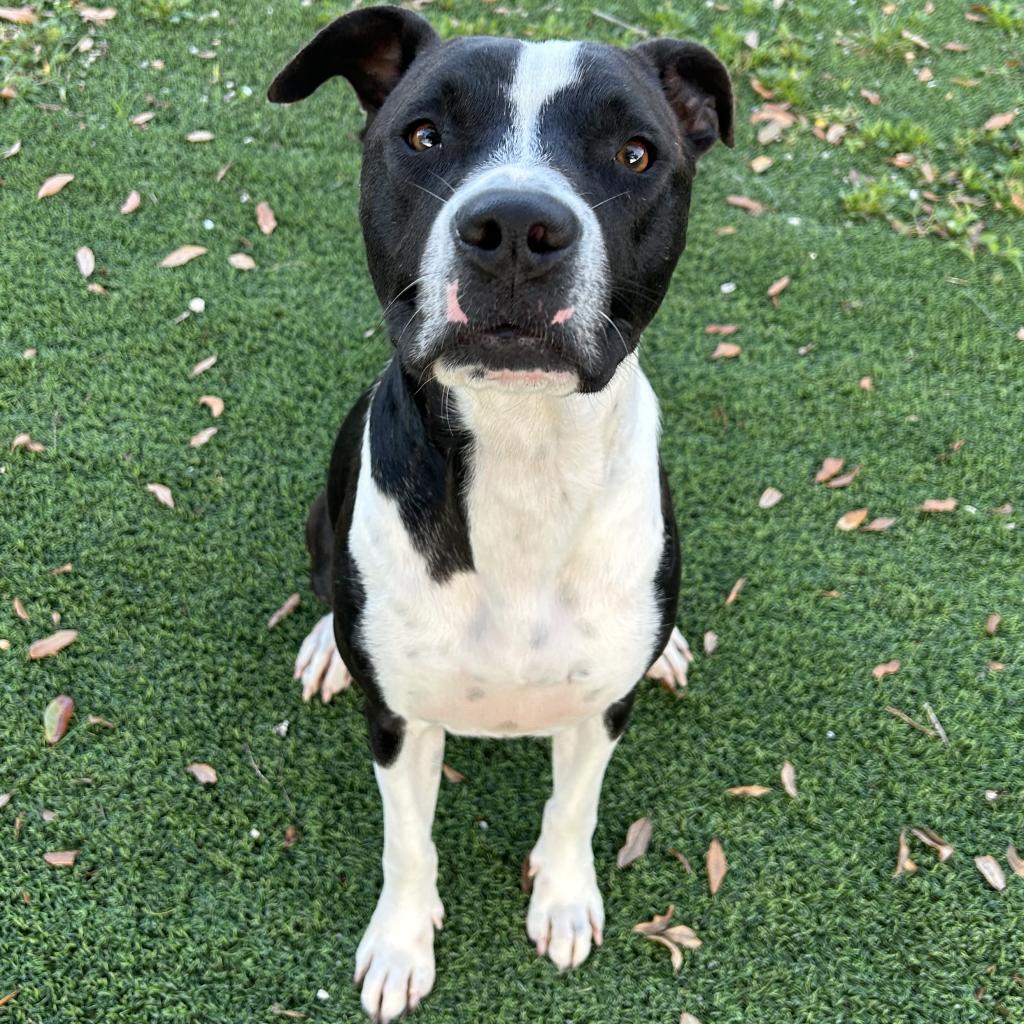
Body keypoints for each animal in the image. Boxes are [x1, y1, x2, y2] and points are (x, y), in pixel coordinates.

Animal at [268, 9, 733, 1024]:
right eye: (424, 135)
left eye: (635, 154)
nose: (517, 227)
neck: (525, 453)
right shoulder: (399, 721)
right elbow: (409, 843)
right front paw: (401, 945)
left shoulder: (602, 708)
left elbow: (574, 808)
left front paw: (562, 899)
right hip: (323, 513)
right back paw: (327, 646)